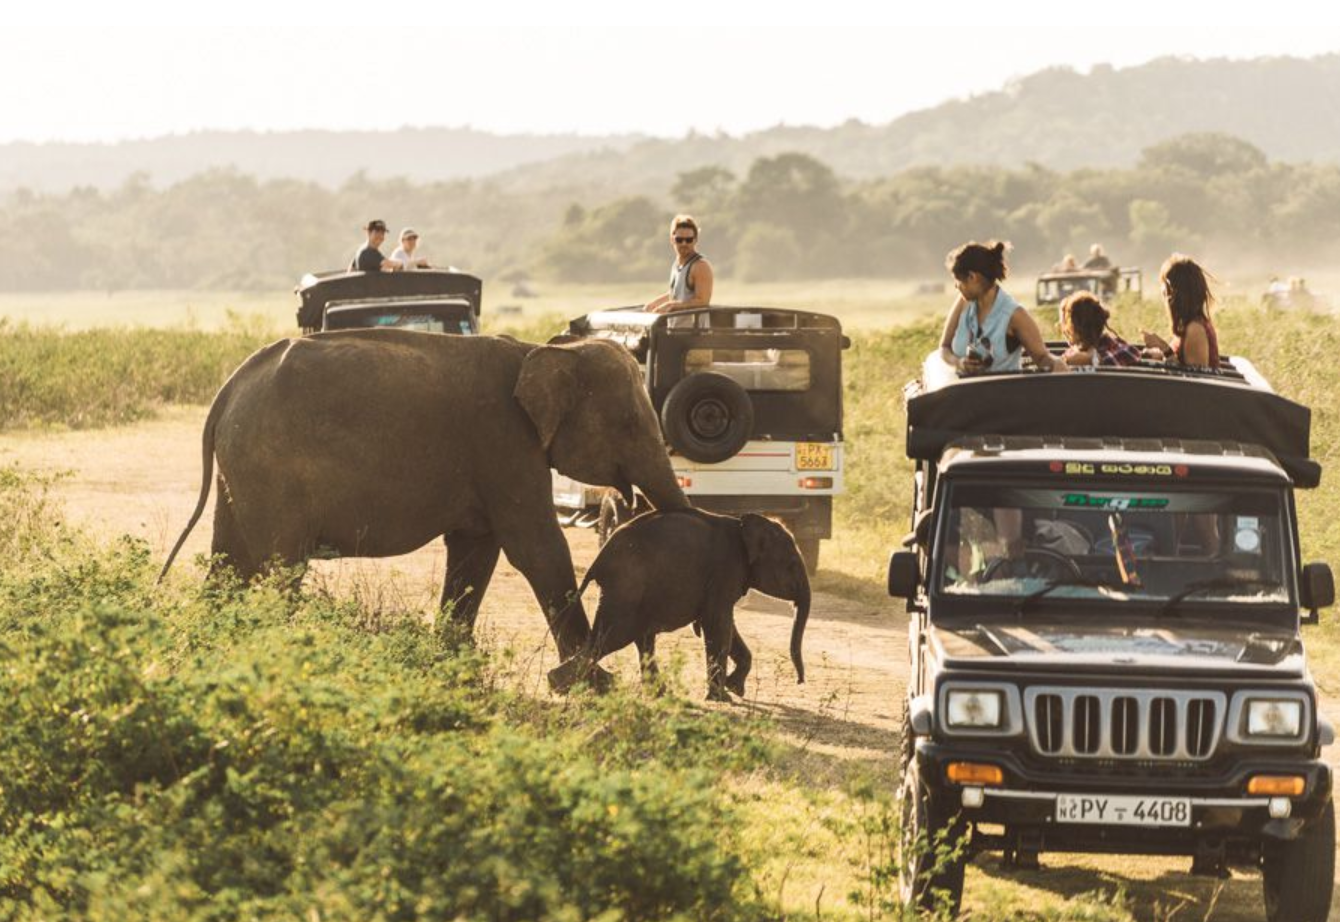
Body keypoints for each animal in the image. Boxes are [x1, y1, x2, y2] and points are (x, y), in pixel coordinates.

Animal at [162, 331, 691, 662]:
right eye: (629, 424)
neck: (546, 349)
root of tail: (229, 388)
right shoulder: (504, 443)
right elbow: (537, 549)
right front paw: (589, 683)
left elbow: (476, 551)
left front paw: (454, 663)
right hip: (271, 469)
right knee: (279, 566)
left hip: (241, 470)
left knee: (229, 560)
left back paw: (207, 652)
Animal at [546, 506, 814, 702]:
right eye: (791, 564)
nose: (800, 681)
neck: (744, 525)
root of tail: (599, 559)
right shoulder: (725, 569)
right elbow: (718, 623)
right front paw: (722, 697)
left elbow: (722, 623)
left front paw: (734, 688)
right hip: (625, 588)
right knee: (610, 638)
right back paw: (558, 686)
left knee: (639, 639)